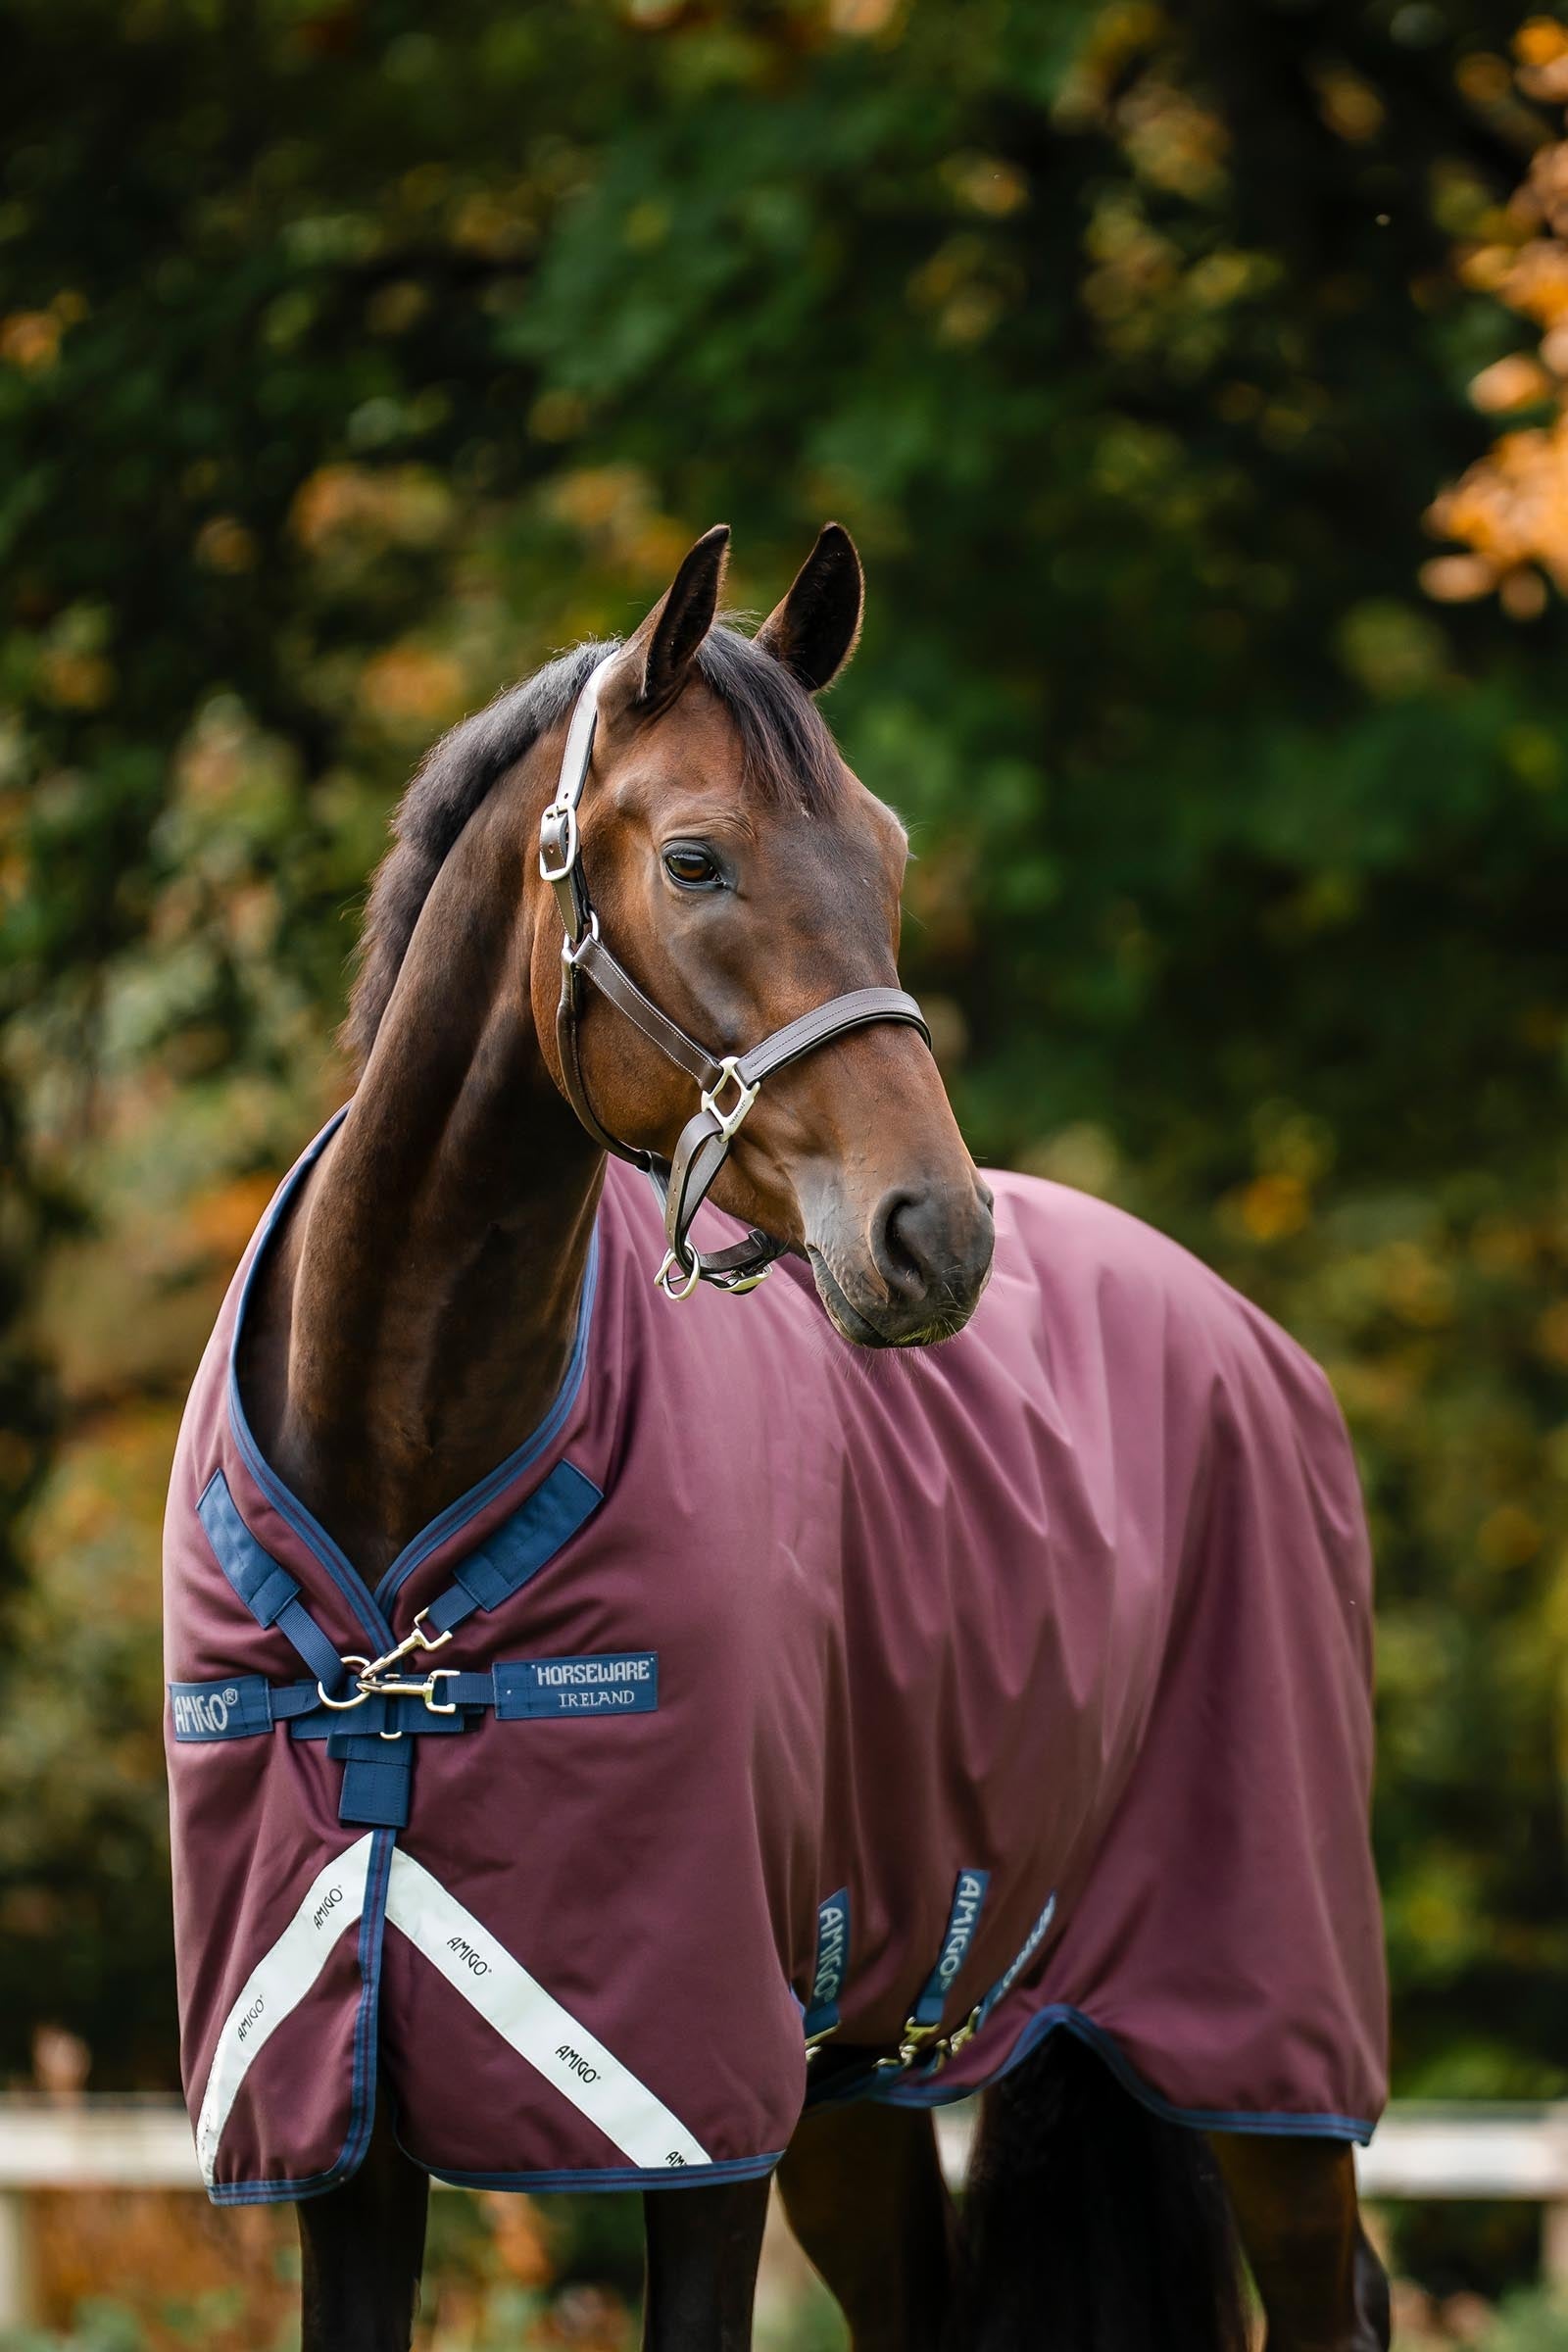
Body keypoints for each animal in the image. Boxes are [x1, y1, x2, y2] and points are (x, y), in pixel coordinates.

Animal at [162, 522, 1392, 2350]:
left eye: (883, 850)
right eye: (695, 860)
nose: (934, 1235)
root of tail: (1246, 1336)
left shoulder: (693, 2108)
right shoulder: (341, 2130)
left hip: (1259, 2031)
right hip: (866, 2077)